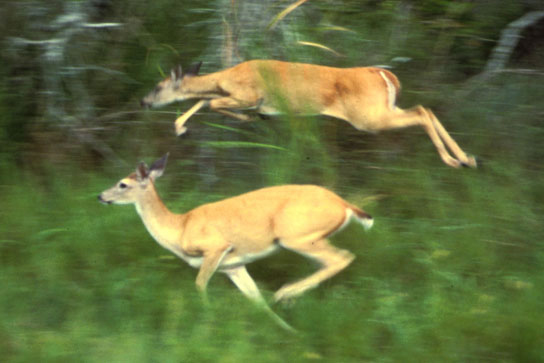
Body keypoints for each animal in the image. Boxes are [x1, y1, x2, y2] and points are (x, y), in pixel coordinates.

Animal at [98, 154, 374, 332]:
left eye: (123, 184)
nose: (101, 195)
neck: (180, 228)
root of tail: (345, 205)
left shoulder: (217, 247)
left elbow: (200, 284)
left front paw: (208, 322)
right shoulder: (233, 266)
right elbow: (255, 299)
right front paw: (287, 331)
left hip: (297, 236)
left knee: (342, 257)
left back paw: (285, 293)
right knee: (333, 262)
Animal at [140, 59, 476, 169]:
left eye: (158, 87)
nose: (143, 102)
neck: (227, 77)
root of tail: (385, 75)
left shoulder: (250, 94)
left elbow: (209, 103)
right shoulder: (238, 96)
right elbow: (204, 102)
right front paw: (180, 128)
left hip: (368, 118)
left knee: (421, 113)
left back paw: (453, 160)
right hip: (383, 108)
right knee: (424, 108)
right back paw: (467, 158)